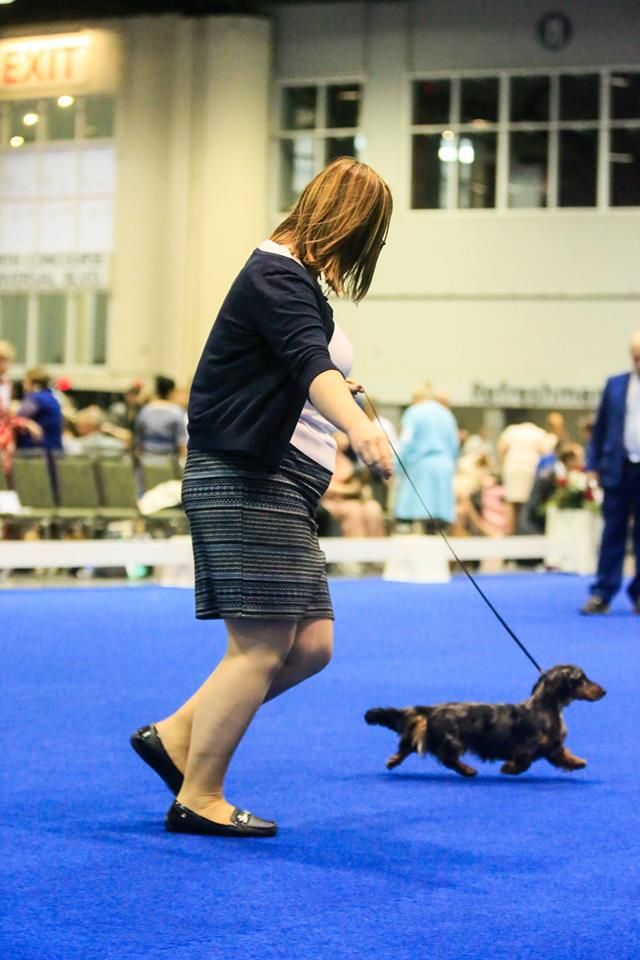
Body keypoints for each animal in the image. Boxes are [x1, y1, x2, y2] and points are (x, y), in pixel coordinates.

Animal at [365, 664, 605, 777]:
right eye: (582, 679)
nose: (604, 691)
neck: (544, 708)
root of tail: (432, 710)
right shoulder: (528, 747)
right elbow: (524, 762)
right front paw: (509, 768)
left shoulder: (553, 746)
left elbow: (564, 756)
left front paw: (578, 762)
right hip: (453, 740)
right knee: (446, 758)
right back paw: (468, 770)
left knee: (409, 745)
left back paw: (393, 761)